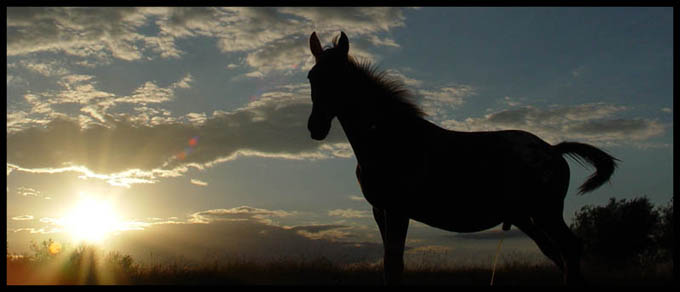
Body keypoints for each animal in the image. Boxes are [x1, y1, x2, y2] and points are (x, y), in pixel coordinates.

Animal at [306, 32, 620, 286]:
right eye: (311, 77)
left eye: (340, 78)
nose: (315, 128)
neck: (392, 138)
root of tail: (553, 149)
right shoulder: (379, 210)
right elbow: (389, 264)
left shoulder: (397, 209)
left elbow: (394, 264)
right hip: (529, 217)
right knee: (558, 254)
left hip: (546, 212)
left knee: (570, 249)